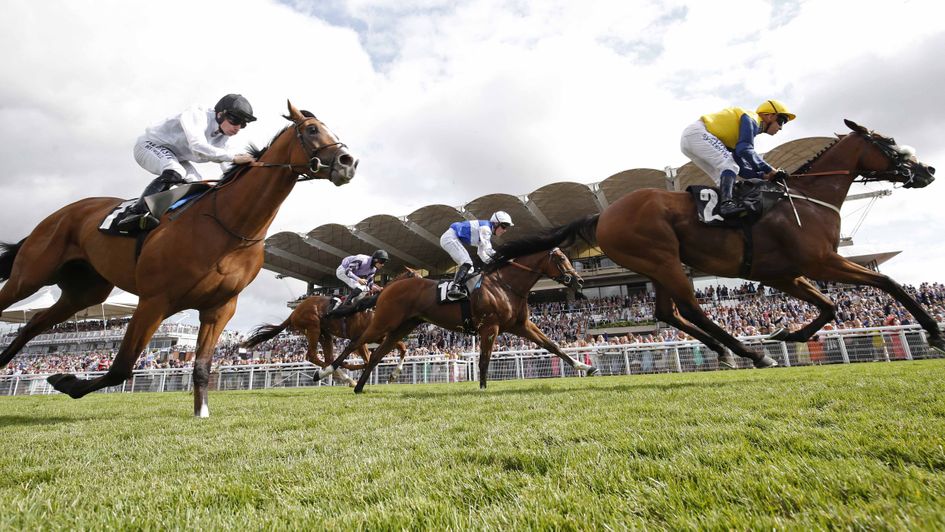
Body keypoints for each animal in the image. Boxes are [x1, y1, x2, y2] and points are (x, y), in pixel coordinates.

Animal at [0, 100, 354, 416]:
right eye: (312, 129)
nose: (348, 161)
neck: (230, 224)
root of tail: (62, 212)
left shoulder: (219, 308)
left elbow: (201, 366)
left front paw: (202, 412)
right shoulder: (154, 301)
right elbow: (121, 368)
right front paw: (65, 381)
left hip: (84, 291)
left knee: (34, 323)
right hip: (30, 275)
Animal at [318, 247, 596, 392]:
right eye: (561, 259)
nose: (580, 281)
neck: (505, 285)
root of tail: (387, 288)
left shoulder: (521, 325)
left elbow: (553, 345)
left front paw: (585, 367)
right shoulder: (490, 327)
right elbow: (483, 359)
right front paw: (482, 388)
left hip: (403, 326)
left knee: (377, 354)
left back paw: (361, 386)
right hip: (384, 322)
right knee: (356, 343)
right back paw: (327, 371)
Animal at [486, 120, 936, 370]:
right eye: (888, 142)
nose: (928, 170)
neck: (807, 198)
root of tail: (602, 215)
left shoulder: (786, 273)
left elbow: (829, 305)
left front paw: (788, 333)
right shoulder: (821, 261)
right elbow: (888, 284)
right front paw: (934, 331)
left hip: (658, 264)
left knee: (666, 312)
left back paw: (729, 350)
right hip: (662, 258)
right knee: (690, 308)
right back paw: (748, 352)